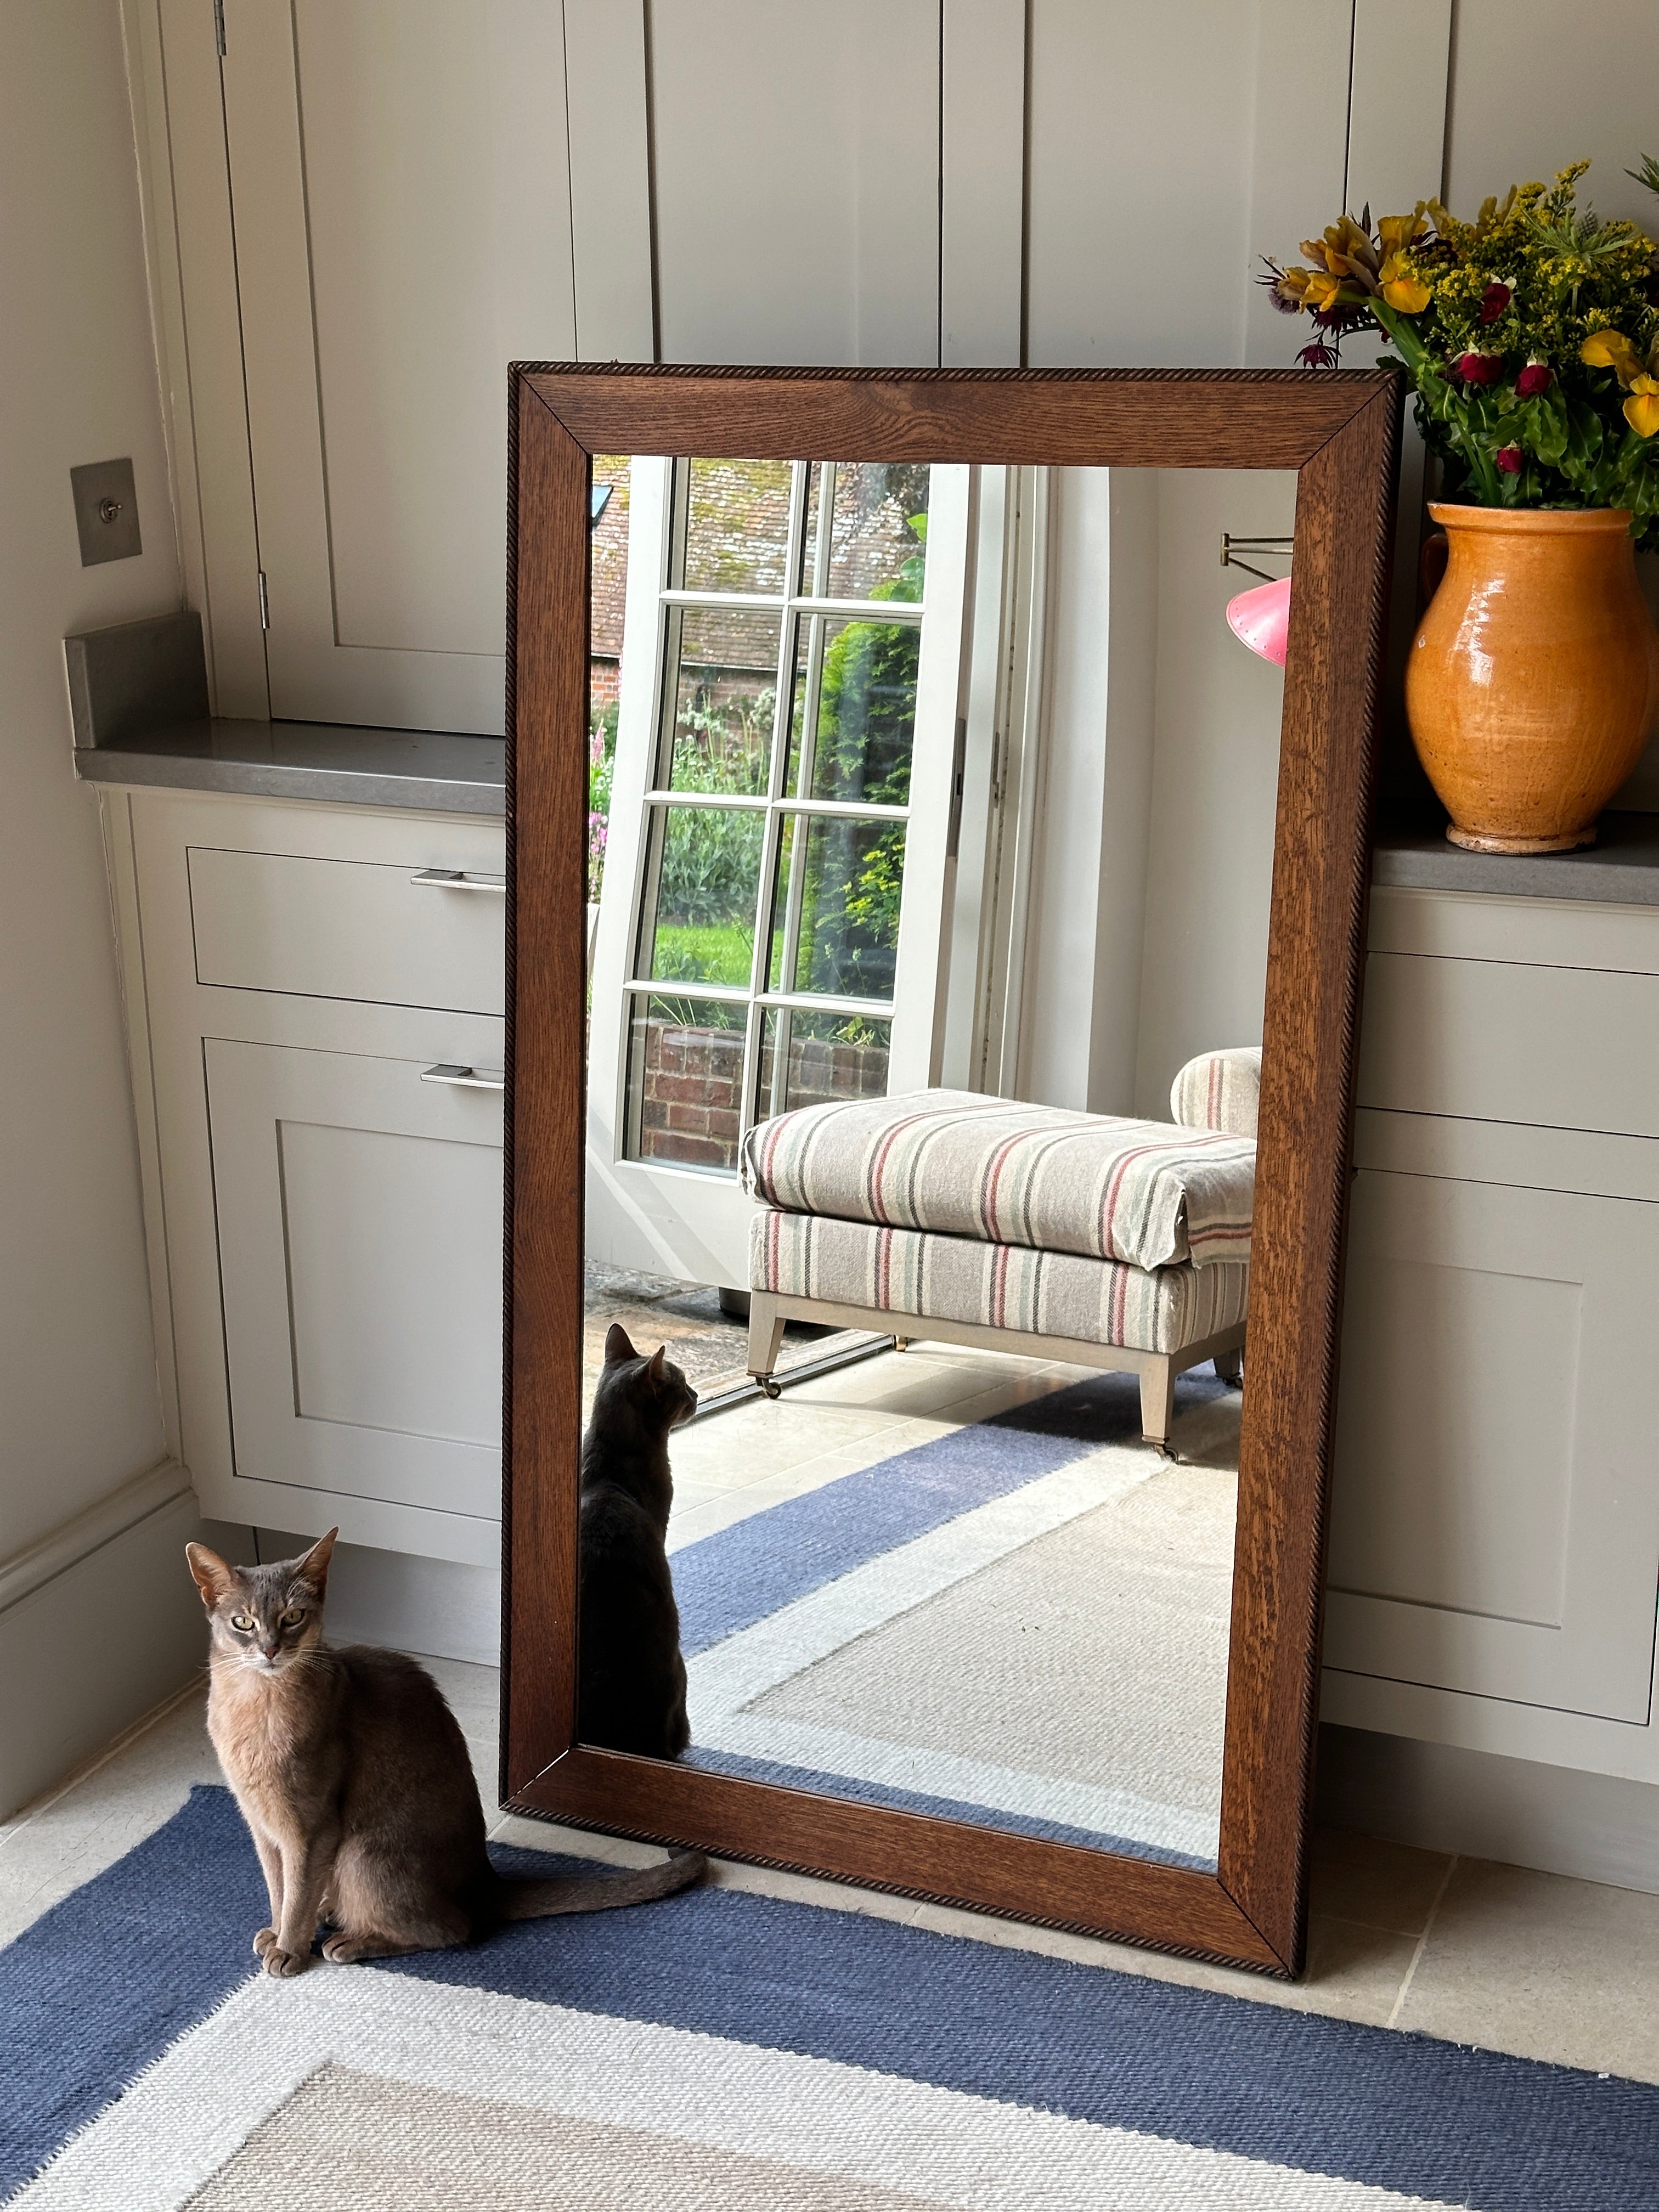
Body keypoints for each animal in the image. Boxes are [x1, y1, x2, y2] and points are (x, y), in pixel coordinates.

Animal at [188, 1531, 708, 1982]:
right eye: (243, 1623)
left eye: (293, 1617)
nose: (271, 1649)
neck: (252, 1705)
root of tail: (484, 1880)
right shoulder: (263, 1827)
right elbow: (280, 1889)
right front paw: (277, 1933)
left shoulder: (310, 1830)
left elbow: (296, 1894)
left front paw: (290, 1951)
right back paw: (332, 1913)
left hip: (362, 1854)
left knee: (452, 1929)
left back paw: (351, 1941)